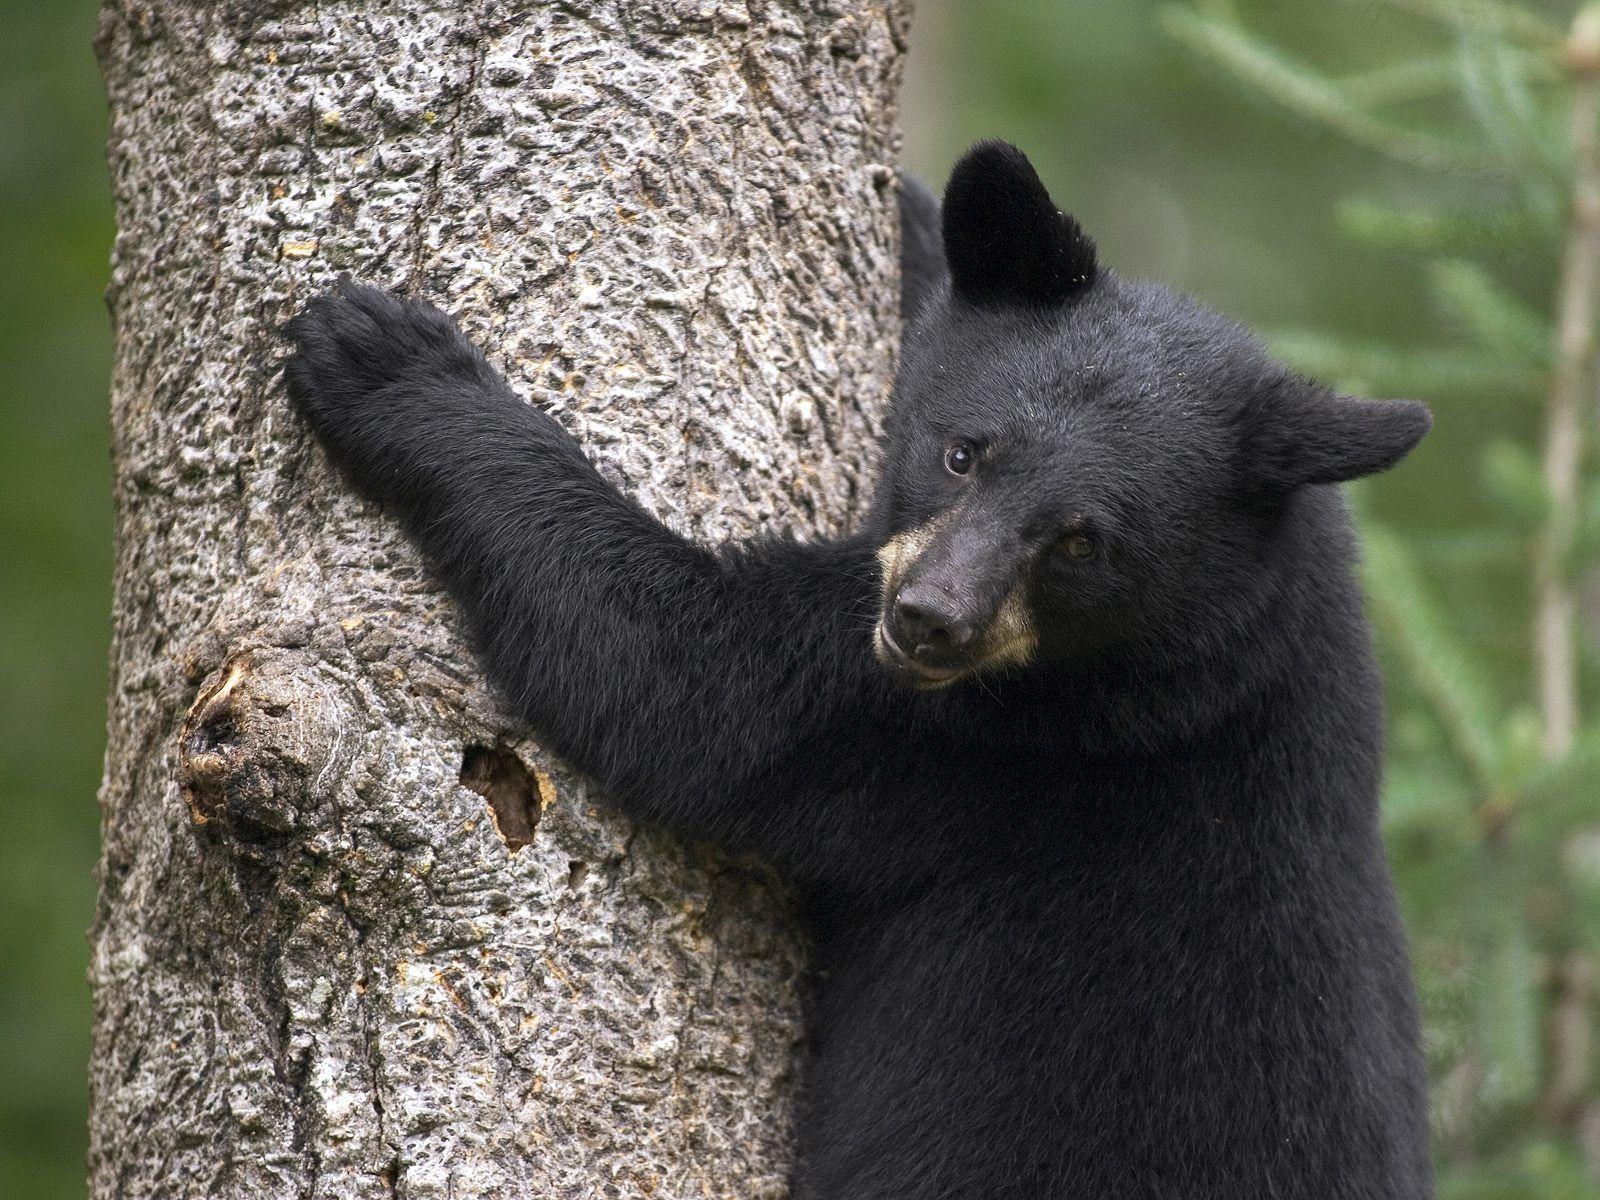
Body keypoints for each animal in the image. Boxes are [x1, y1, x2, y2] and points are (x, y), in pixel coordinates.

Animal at [283, 140, 1434, 1200]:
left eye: (1081, 541)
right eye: (964, 451)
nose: (928, 621)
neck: (1231, 629)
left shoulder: (1001, 742)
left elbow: (686, 685)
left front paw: (390, 363)